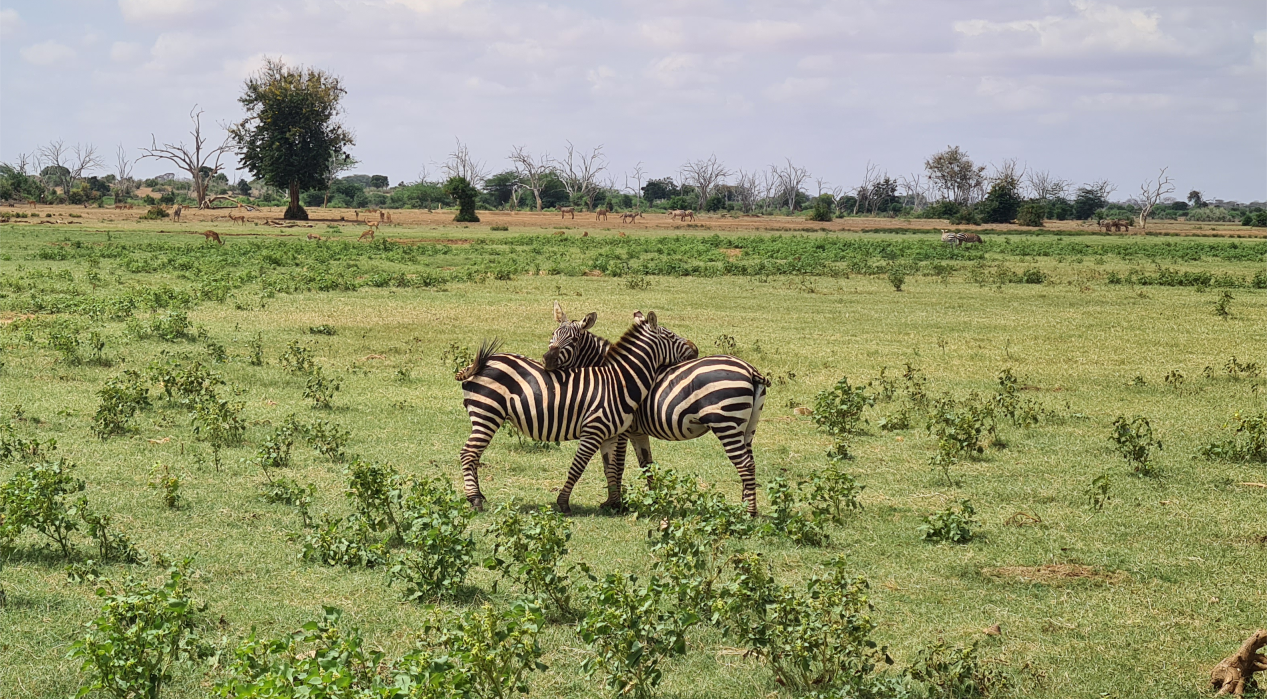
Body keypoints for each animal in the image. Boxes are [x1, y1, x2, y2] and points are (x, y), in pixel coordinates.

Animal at [456, 311, 699, 514]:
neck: (619, 380)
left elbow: (612, 468)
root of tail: (483, 361)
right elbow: (580, 467)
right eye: (671, 335)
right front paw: (564, 503)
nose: (695, 349)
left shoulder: (611, 434)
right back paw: (475, 499)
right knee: (468, 453)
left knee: (473, 455)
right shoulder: (595, 430)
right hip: (487, 414)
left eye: (572, 340)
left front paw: (614, 504)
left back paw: (478, 496)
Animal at [542, 302, 765, 516]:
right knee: (750, 462)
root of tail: (750, 369)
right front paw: (651, 500)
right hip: (746, 427)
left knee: (744, 464)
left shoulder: (621, 430)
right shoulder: (636, 431)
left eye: (573, 341)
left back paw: (748, 513)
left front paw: (615, 503)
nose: (547, 360)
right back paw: (746, 507)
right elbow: (645, 464)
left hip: (726, 422)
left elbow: (617, 465)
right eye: (552, 334)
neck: (615, 375)